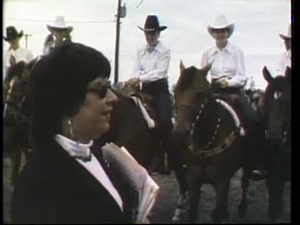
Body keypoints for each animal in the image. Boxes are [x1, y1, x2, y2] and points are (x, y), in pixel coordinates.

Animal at [172, 60, 252, 222]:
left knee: (245, 183)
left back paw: (242, 207)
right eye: (176, 92)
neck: (206, 142)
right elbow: (193, 213)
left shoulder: (221, 182)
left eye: (200, 93)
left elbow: (218, 213)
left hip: (247, 165)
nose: (180, 134)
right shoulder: (193, 181)